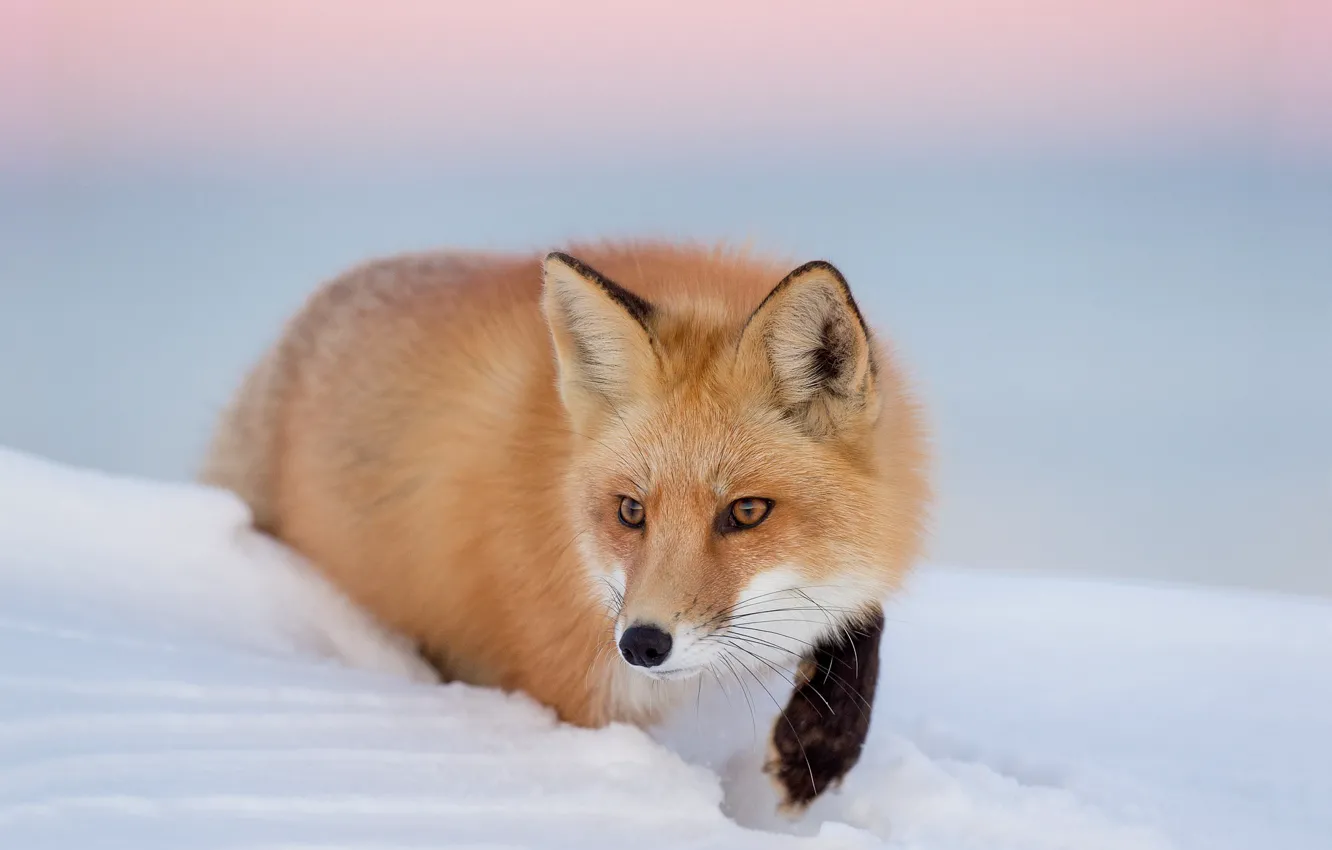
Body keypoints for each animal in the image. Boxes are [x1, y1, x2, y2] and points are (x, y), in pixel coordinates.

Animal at [200, 242, 929, 811]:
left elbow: (861, 614)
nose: (642, 644)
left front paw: (818, 749)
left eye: (747, 512)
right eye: (631, 512)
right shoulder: (573, 686)